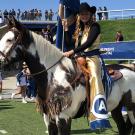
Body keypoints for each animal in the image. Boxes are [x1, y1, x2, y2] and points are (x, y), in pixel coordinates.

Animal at [0, 16, 135, 134]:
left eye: (9, 39)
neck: (53, 75)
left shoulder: (63, 117)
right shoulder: (49, 117)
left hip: (131, 109)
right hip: (117, 108)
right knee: (123, 127)